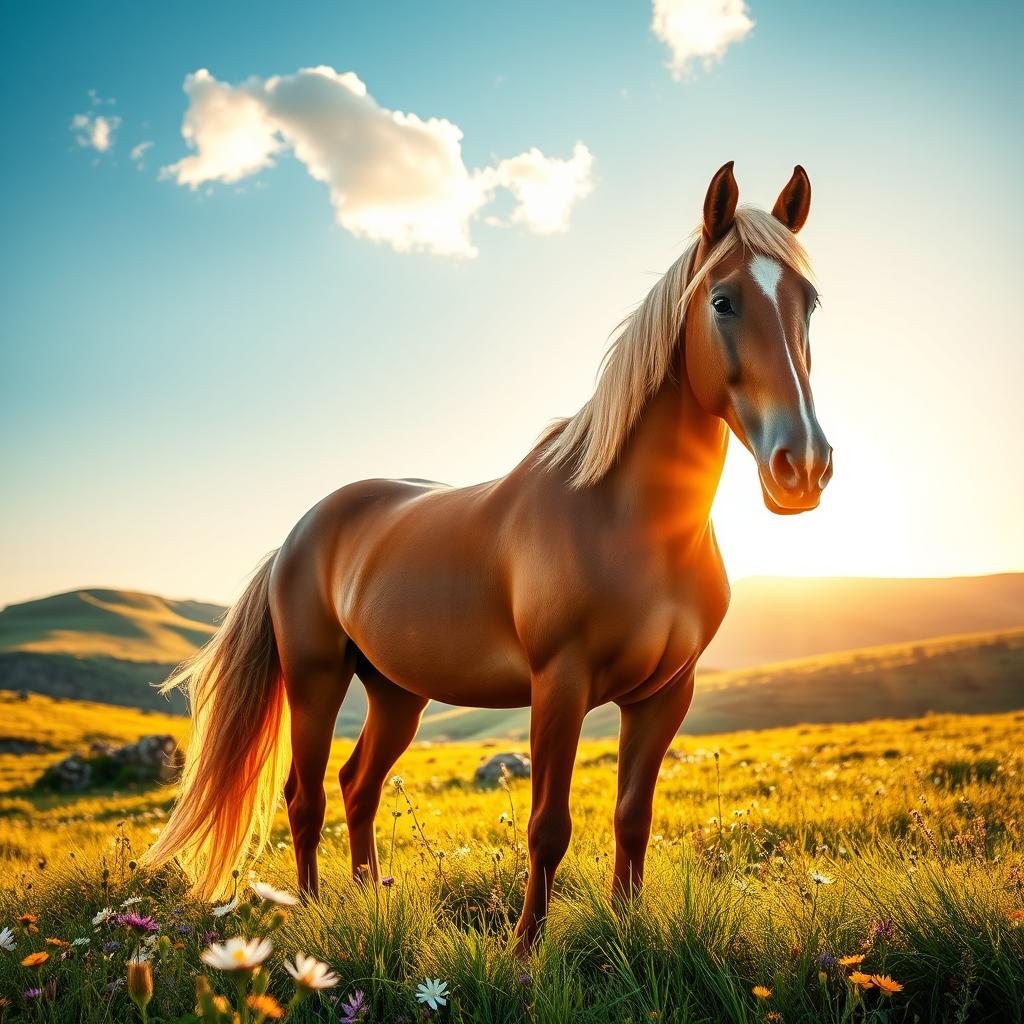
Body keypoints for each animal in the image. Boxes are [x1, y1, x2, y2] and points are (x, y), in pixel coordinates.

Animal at [144, 161, 832, 949]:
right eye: (722, 300)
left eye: (809, 303)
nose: (803, 466)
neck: (627, 521)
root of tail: (297, 535)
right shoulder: (559, 684)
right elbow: (548, 827)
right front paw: (526, 948)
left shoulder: (665, 693)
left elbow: (633, 817)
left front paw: (625, 931)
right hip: (315, 679)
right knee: (305, 794)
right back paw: (315, 909)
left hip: (397, 693)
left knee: (358, 785)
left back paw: (366, 898)